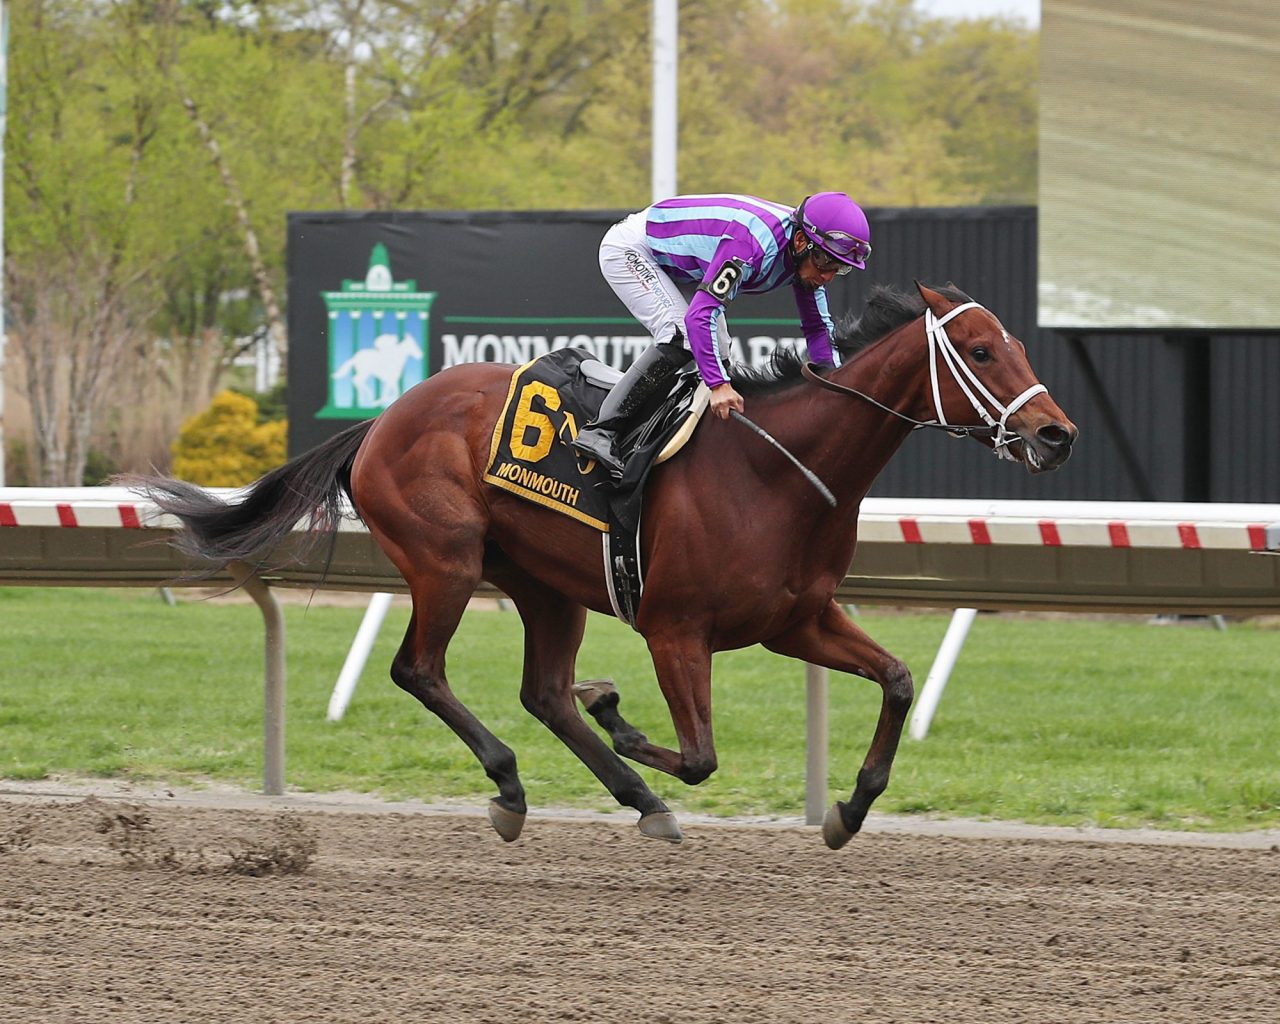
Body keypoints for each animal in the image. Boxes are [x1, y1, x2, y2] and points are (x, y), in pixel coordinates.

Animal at [129, 281, 1075, 849]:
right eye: (982, 352)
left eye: (1019, 346)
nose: (1057, 434)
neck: (775, 470)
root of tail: (383, 419)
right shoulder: (675, 630)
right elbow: (698, 755)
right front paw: (617, 710)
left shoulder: (795, 621)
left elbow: (900, 679)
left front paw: (848, 809)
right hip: (447, 561)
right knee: (420, 670)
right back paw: (517, 786)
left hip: (547, 586)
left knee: (542, 693)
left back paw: (627, 796)